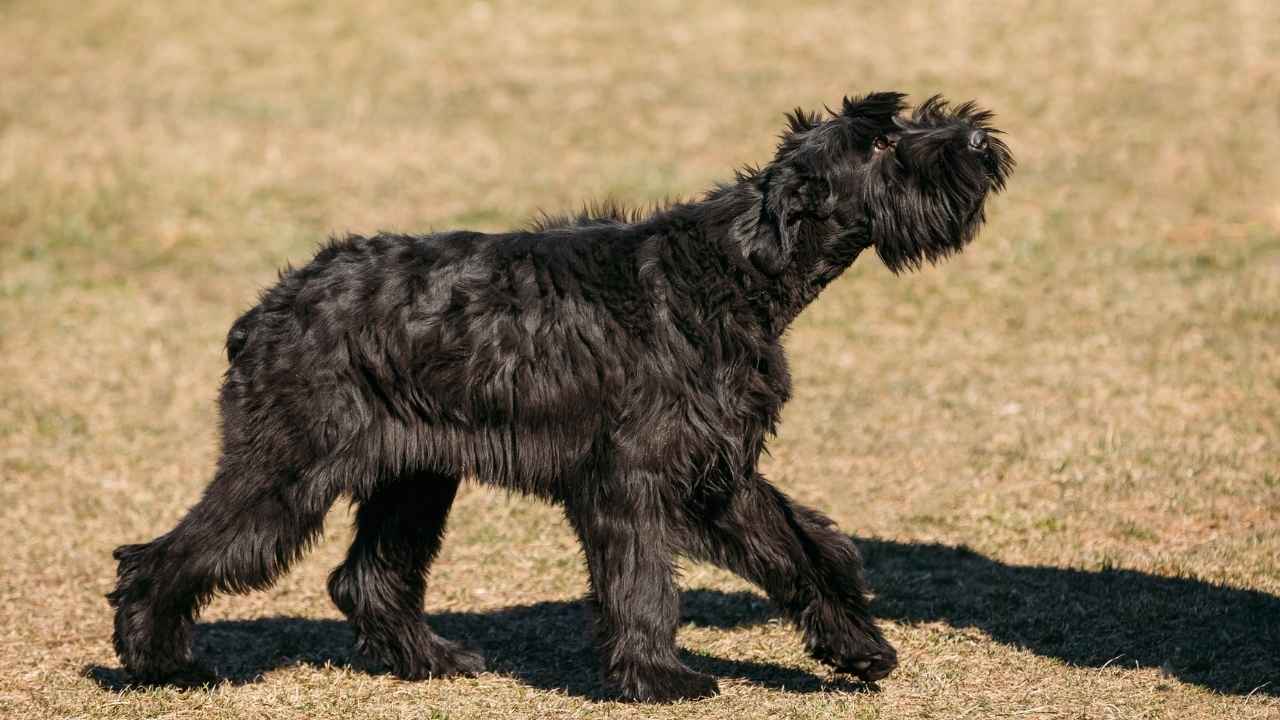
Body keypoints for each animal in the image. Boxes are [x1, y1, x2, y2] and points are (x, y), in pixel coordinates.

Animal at [110, 90, 1008, 702]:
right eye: (884, 140)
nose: (975, 135)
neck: (732, 270)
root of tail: (267, 309)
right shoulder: (634, 478)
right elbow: (643, 578)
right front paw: (659, 676)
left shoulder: (716, 469)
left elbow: (804, 549)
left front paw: (857, 647)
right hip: (286, 472)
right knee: (166, 556)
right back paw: (160, 663)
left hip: (413, 479)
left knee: (366, 578)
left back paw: (433, 661)